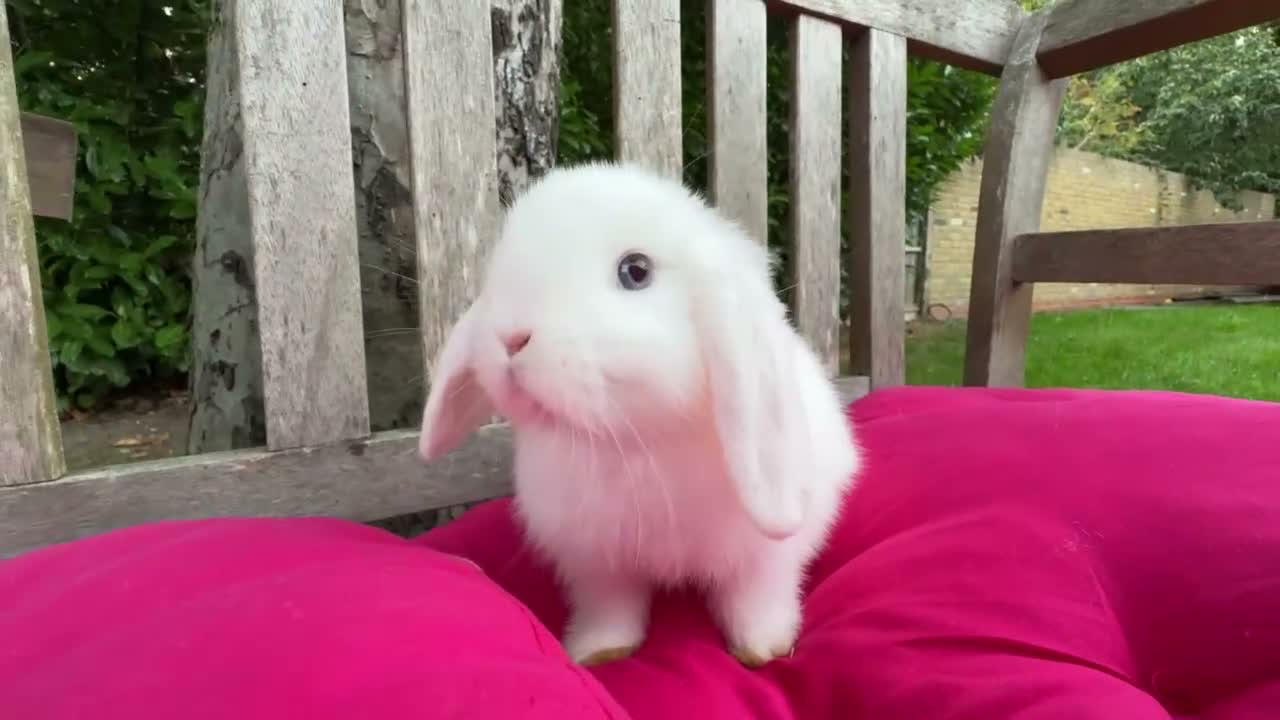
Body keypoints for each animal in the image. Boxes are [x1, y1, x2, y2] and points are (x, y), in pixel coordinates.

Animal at [418, 161, 862, 668]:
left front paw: (764, 650)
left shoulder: (764, 560)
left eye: (635, 271)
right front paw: (597, 652)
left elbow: (756, 599)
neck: (637, 442)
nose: (510, 336)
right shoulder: (596, 565)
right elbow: (610, 609)